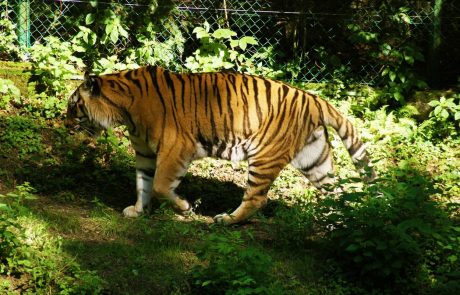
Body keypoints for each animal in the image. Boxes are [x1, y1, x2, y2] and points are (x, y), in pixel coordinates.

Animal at [64, 66, 374, 225]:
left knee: (257, 198)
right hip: (315, 161)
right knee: (338, 193)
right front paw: (138, 211)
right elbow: (143, 184)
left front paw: (184, 208)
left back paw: (226, 219)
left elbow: (162, 186)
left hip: (264, 157)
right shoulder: (144, 153)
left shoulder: (176, 148)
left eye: (72, 105)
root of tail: (314, 98)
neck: (124, 111)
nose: (64, 123)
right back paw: (339, 224)